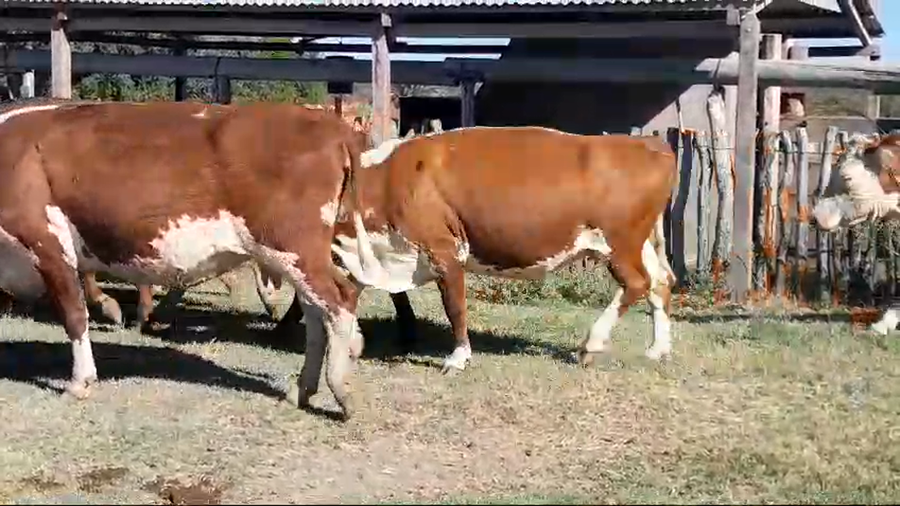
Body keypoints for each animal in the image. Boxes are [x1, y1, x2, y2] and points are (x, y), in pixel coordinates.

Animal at [0, 100, 365, 420]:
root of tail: (328, 123)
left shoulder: (46, 241)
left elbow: (74, 315)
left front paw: (79, 382)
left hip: (293, 247)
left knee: (340, 300)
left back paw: (341, 390)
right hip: (292, 256)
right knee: (316, 313)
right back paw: (301, 390)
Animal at [328, 126, 678, 373]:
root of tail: (650, 144)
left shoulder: (445, 249)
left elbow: (455, 306)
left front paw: (458, 358)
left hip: (620, 243)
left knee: (638, 283)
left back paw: (591, 345)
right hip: (640, 243)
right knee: (661, 282)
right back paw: (657, 349)